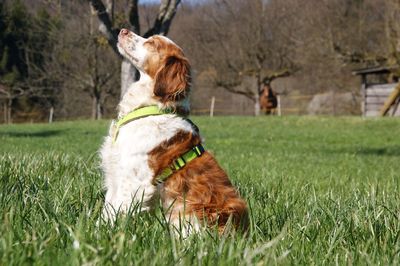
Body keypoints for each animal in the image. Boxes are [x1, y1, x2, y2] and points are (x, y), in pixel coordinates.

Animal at [100, 28, 247, 234]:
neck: (151, 108)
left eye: (152, 43)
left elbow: (117, 212)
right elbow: (106, 212)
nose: (123, 30)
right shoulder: (116, 174)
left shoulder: (134, 181)